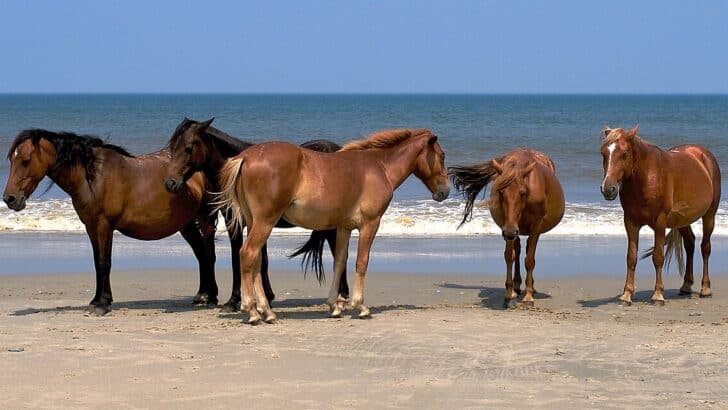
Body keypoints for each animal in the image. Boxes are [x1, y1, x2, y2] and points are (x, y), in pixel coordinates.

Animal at [2, 129, 220, 315]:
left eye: (25, 160)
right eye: (11, 159)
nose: (9, 199)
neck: (93, 178)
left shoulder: (104, 226)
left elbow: (104, 262)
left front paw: (102, 304)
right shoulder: (91, 227)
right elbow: (97, 262)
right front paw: (98, 299)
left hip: (205, 218)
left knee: (209, 254)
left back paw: (211, 297)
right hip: (186, 224)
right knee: (201, 254)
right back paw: (201, 295)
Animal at [163, 117, 350, 310]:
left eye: (188, 147)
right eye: (172, 148)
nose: (170, 183)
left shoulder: (238, 224)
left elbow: (237, 257)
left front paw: (235, 300)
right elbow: (262, 260)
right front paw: (267, 297)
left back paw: (342, 297)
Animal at [215, 128, 449, 324]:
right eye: (442, 155)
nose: (445, 191)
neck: (379, 167)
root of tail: (246, 157)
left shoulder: (343, 227)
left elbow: (340, 262)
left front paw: (334, 307)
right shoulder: (369, 224)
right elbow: (361, 262)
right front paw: (360, 307)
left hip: (254, 222)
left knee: (255, 261)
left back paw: (267, 311)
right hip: (265, 222)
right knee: (248, 254)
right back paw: (252, 311)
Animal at [450, 148, 565, 306]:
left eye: (523, 192)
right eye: (500, 191)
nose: (510, 231)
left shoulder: (535, 226)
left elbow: (529, 260)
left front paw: (528, 297)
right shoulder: (507, 227)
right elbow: (510, 256)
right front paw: (509, 295)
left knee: (527, 251)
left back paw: (530, 287)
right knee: (518, 250)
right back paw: (516, 286)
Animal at [599, 126, 721, 305]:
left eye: (625, 153)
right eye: (603, 153)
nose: (608, 189)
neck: (647, 177)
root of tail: (704, 155)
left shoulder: (660, 222)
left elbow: (657, 256)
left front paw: (658, 295)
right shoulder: (630, 222)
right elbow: (631, 257)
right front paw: (627, 294)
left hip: (709, 216)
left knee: (705, 247)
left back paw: (705, 289)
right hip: (683, 220)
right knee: (690, 244)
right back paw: (686, 285)